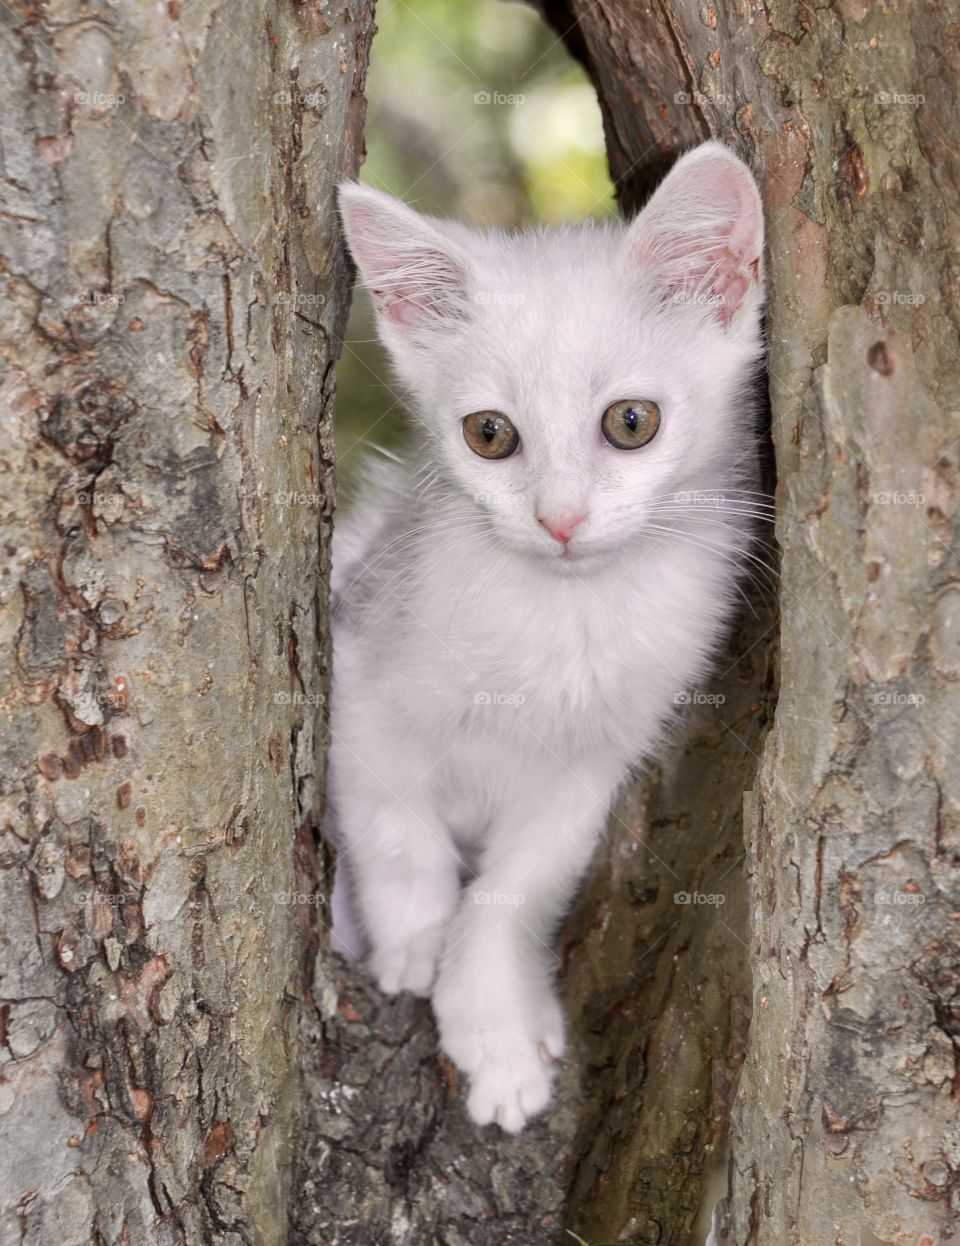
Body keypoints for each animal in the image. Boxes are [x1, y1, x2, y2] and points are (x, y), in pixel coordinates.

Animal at [326, 141, 763, 1136]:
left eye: (631, 422)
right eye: (489, 434)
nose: (560, 520)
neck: (565, 617)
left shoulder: (596, 764)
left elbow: (520, 888)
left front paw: (492, 1018)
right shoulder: (355, 674)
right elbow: (395, 831)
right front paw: (415, 942)